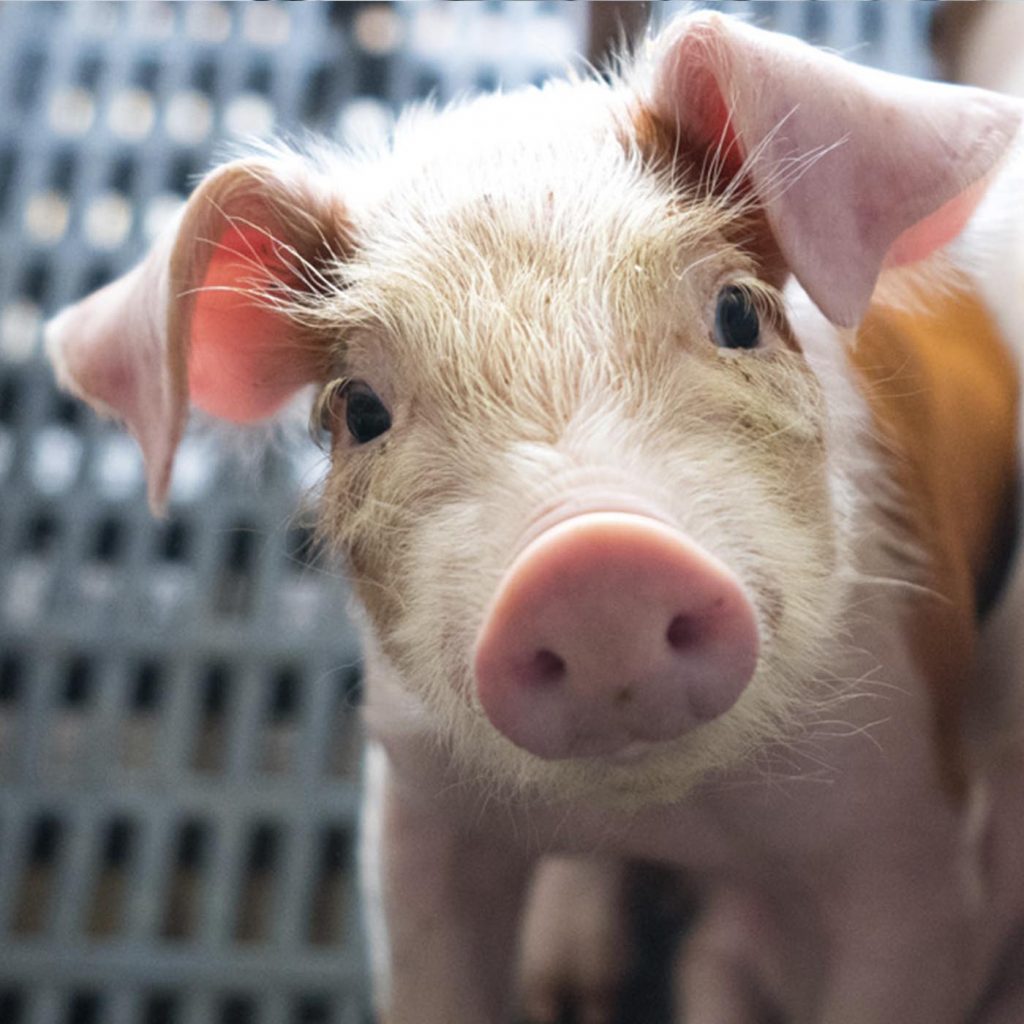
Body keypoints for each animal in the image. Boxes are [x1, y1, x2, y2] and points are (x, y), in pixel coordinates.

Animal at [44, 9, 1024, 1024]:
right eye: (360, 411)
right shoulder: (415, 796)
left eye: (737, 314)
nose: (595, 561)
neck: (667, 819)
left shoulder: (913, 823)